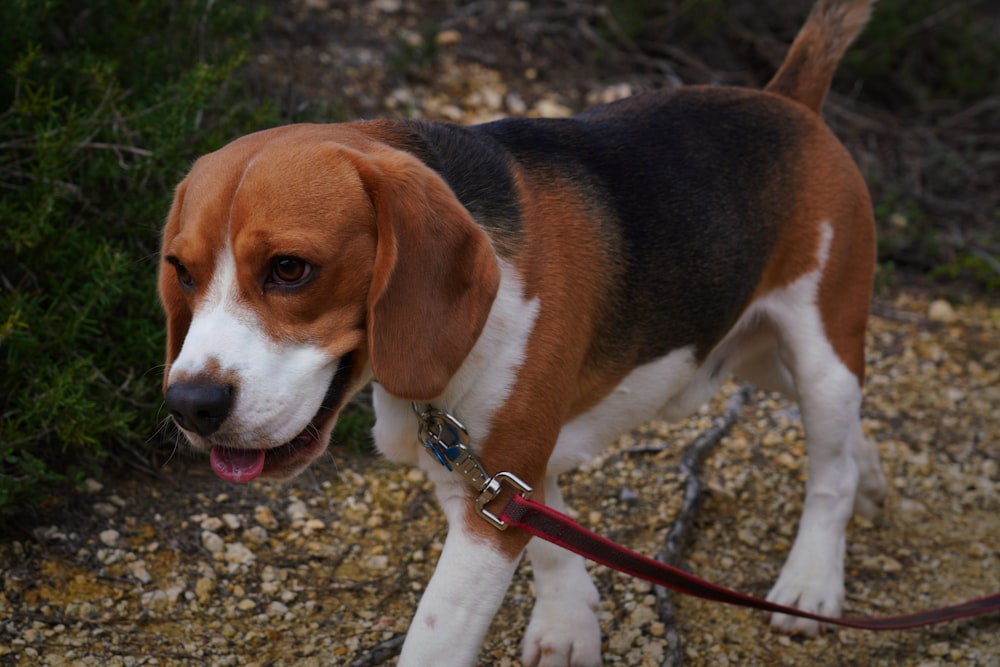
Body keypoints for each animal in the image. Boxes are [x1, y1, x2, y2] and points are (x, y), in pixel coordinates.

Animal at [160, 2, 888, 664]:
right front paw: (569, 620)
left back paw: (811, 580)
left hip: (821, 348)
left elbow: (436, 635)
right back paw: (868, 471)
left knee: (829, 471)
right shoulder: (493, 472)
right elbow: (547, 530)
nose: (190, 406)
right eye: (182, 272)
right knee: (844, 431)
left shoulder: (493, 489)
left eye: (290, 269)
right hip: (756, 353)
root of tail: (786, 99)